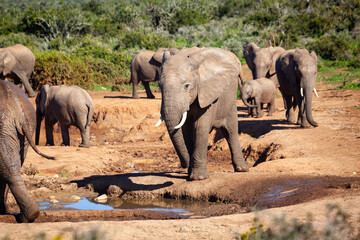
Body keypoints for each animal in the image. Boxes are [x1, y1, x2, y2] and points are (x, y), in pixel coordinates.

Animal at [155, 47, 250, 180]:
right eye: (159, 85)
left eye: (186, 86)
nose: (184, 165)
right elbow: (186, 131)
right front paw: (190, 174)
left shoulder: (208, 94)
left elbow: (200, 127)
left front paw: (198, 178)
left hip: (230, 97)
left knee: (230, 131)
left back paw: (242, 169)